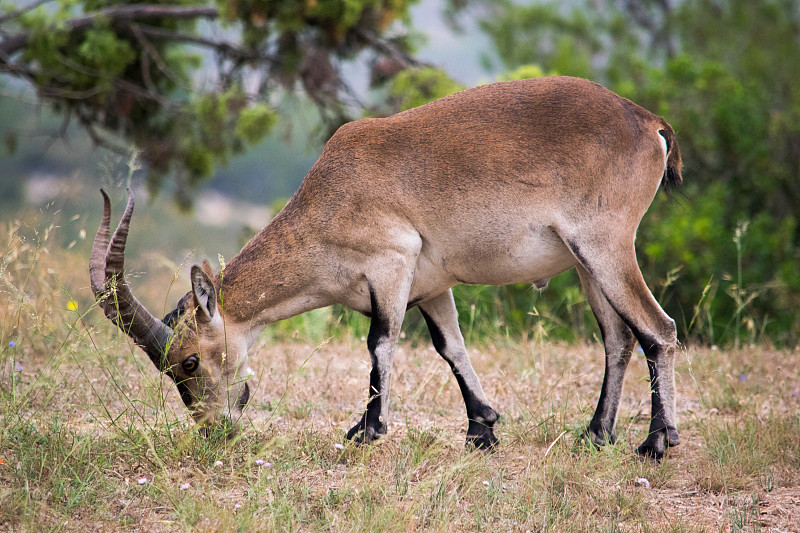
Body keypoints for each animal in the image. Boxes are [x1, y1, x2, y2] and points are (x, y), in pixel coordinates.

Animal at [92, 76, 680, 458]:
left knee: (658, 329)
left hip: (605, 246)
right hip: (585, 263)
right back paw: (595, 435)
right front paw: (481, 431)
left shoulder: (390, 266)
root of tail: (647, 122)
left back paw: (655, 442)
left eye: (188, 360)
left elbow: (379, 341)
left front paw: (367, 430)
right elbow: (450, 347)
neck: (333, 191)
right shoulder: (432, 287)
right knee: (617, 338)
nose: (215, 430)